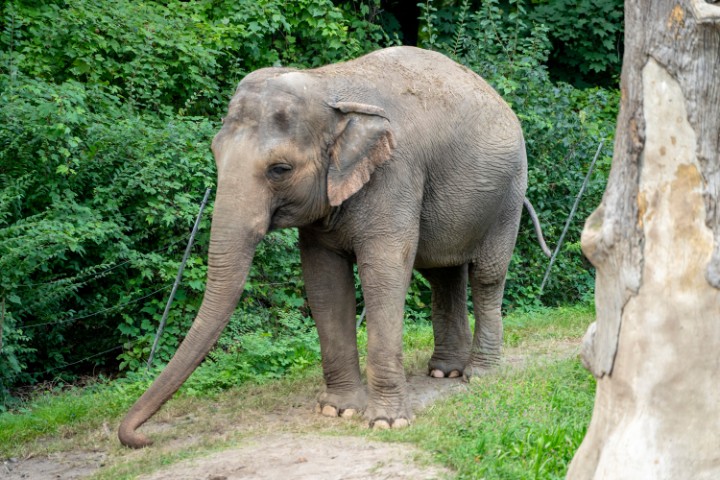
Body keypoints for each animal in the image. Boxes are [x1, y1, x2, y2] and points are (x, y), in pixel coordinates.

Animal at [119, 47, 552, 448]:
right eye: (215, 154)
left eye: (280, 169)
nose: (141, 438)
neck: (328, 85)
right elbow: (324, 283)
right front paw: (338, 410)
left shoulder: (395, 174)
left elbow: (383, 276)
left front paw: (387, 423)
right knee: (443, 276)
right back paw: (445, 372)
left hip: (509, 193)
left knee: (487, 275)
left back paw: (480, 375)